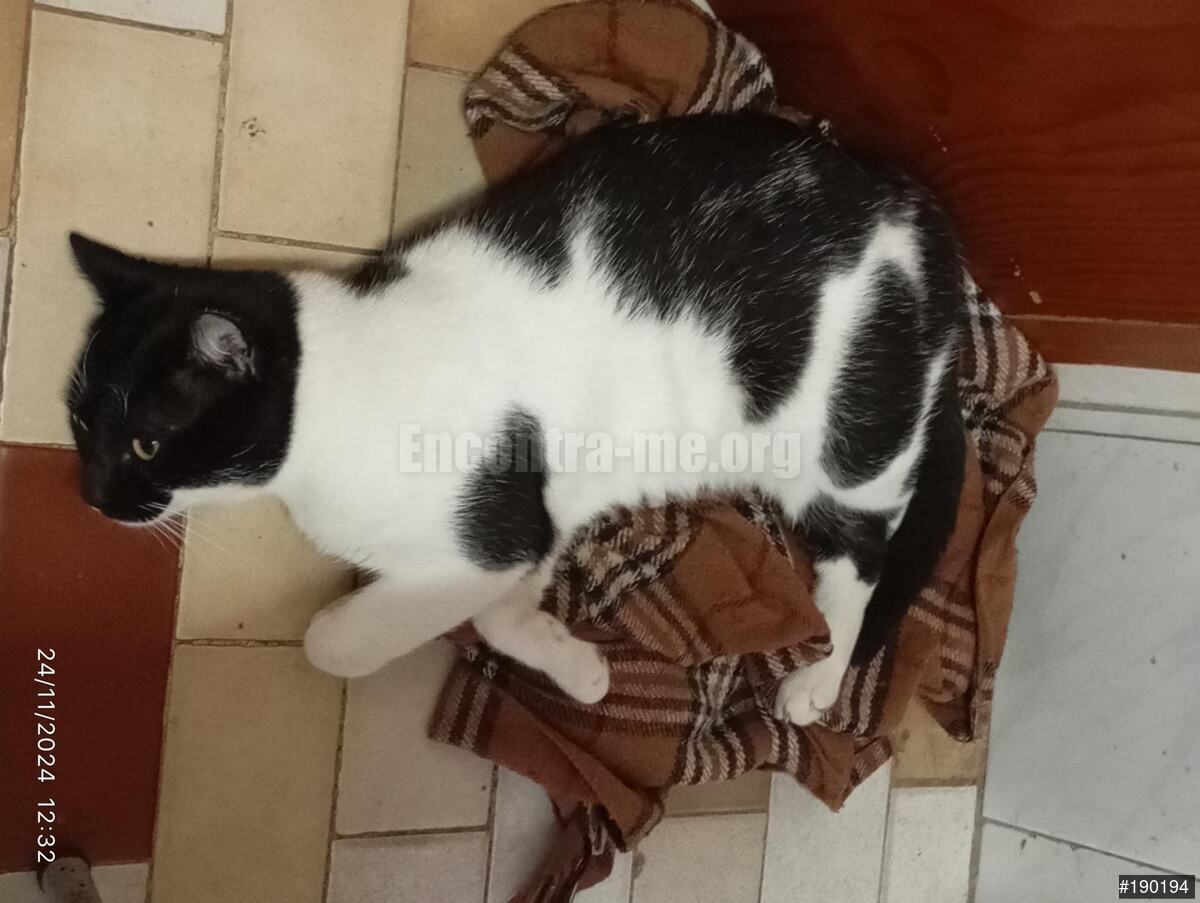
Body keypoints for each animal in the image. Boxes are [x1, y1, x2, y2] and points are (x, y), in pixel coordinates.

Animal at [65, 112, 965, 725]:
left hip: (848, 439)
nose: (92, 496)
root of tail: (930, 228)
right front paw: (576, 666)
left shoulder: (489, 533)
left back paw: (819, 676)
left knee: (865, 550)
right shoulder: (541, 514)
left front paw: (343, 631)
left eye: (145, 440)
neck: (332, 394)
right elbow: (501, 610)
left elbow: (337, 639)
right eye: (78, 424)